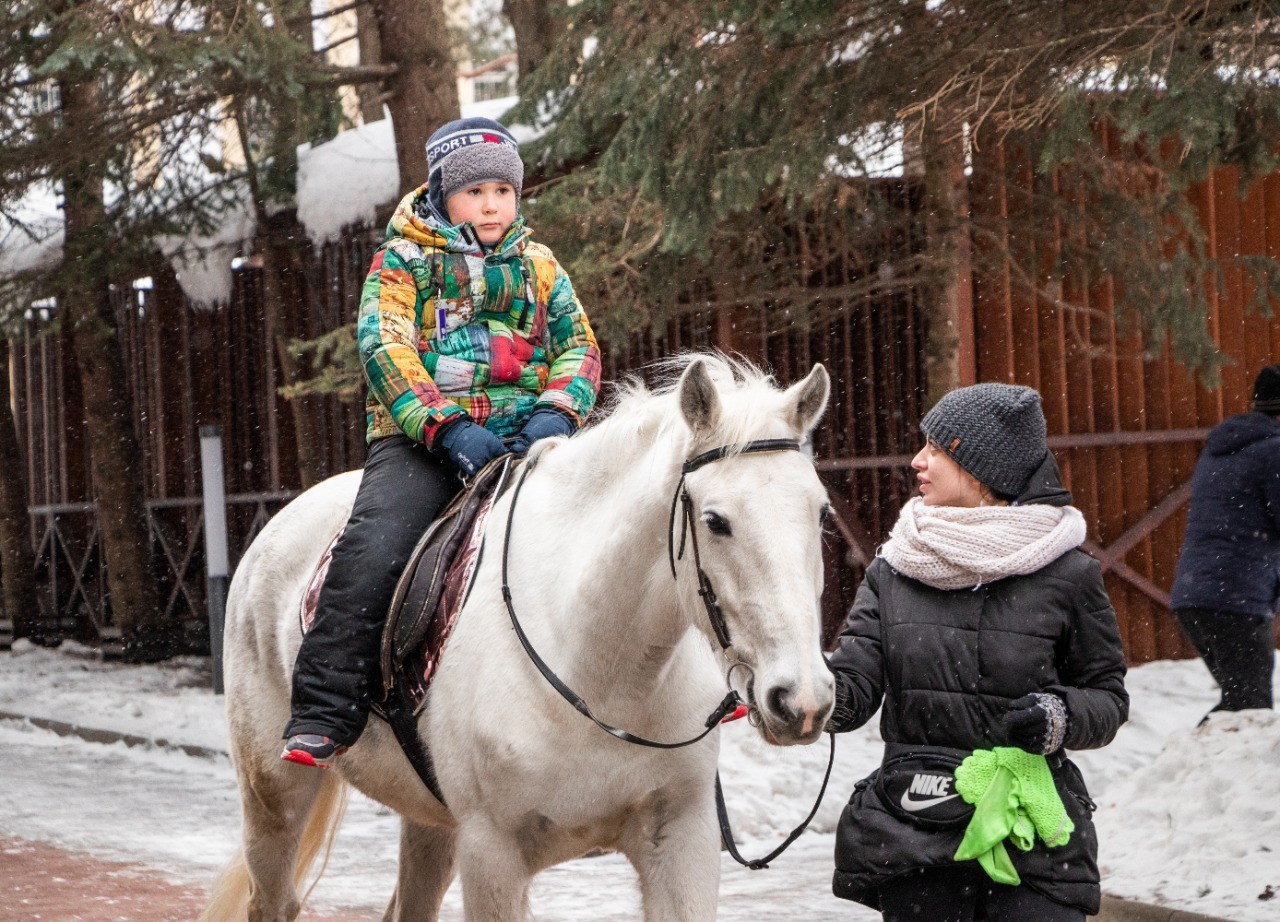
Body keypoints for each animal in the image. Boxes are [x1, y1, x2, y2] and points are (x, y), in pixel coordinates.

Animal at [204, 355, 834, 922]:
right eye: (714, 521)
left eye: (822, 513)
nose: (800, 701)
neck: (601, 671)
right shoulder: (493, 854)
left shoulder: (681, 840)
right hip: (272, 794)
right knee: (273, 899)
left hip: (431, 822)